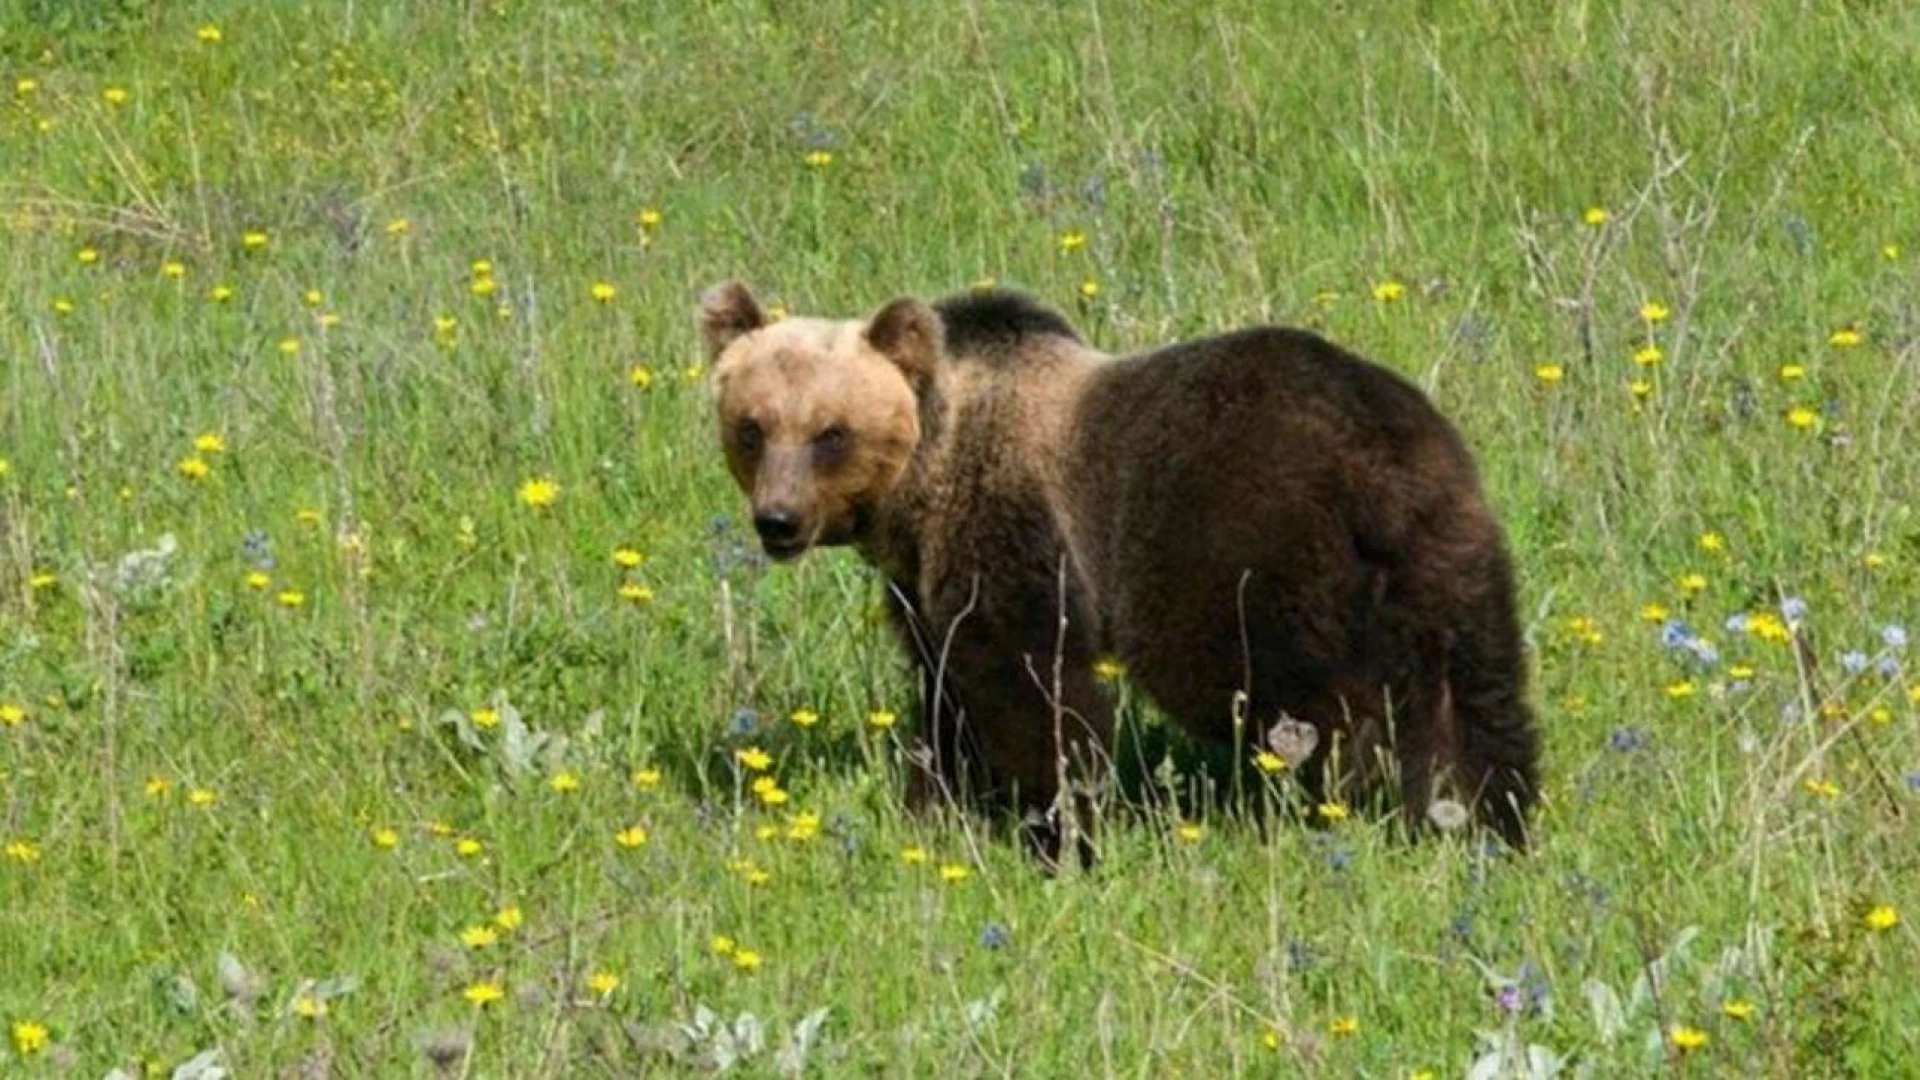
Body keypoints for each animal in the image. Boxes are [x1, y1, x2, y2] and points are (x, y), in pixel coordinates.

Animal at [698, 276, 1536, 857]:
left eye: (831, 432)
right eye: (752, 426)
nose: (778, 520)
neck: (925, 479)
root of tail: (1387, 466)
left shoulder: (1014, 529)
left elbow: (1032, 686)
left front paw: (1058, 826)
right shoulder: (922, 585)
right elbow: (943, 692)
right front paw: (936, 803)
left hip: (1245, 552)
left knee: (1312, 698)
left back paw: (1347, 803)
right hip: (1450, 551)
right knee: (1478, 696)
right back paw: (1491, 816)